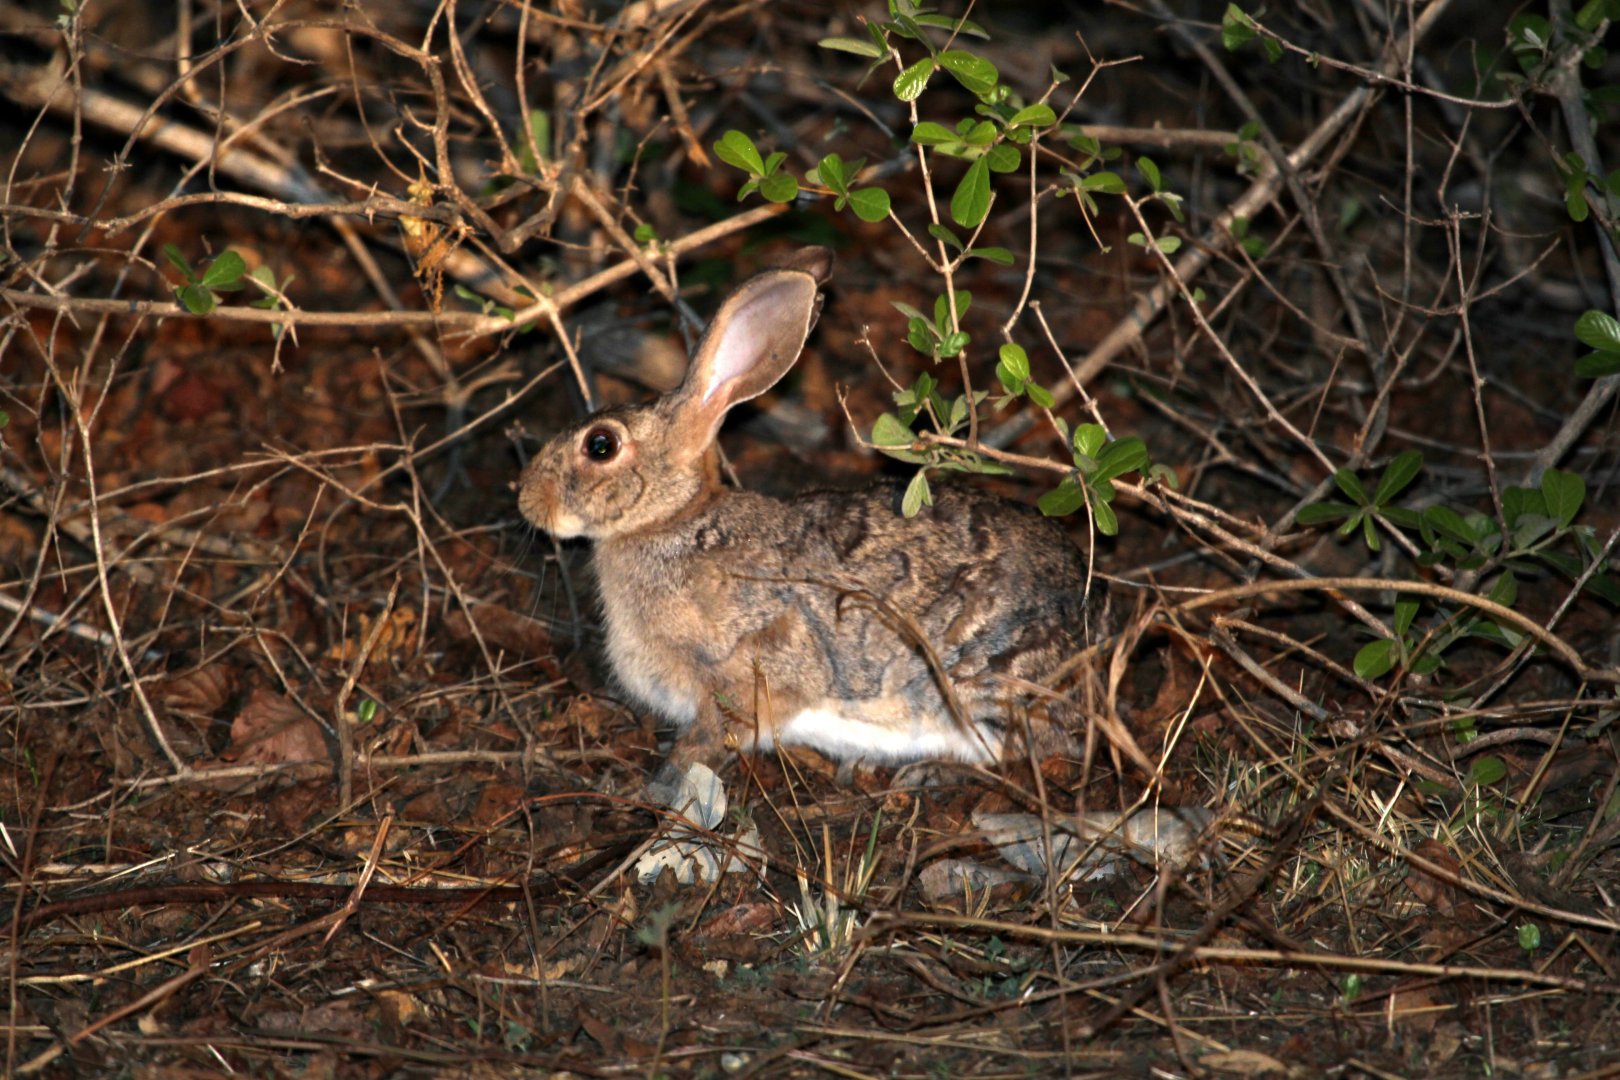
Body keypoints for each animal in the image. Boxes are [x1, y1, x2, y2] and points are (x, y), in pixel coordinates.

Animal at [517, 249, 1110, 802]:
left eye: (601, 446)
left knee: (1022, 753)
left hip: (979, 681)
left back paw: (926, 772)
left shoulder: (739, 680)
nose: (524, 497)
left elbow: (705, 742)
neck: (675, 520)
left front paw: (655, 789)